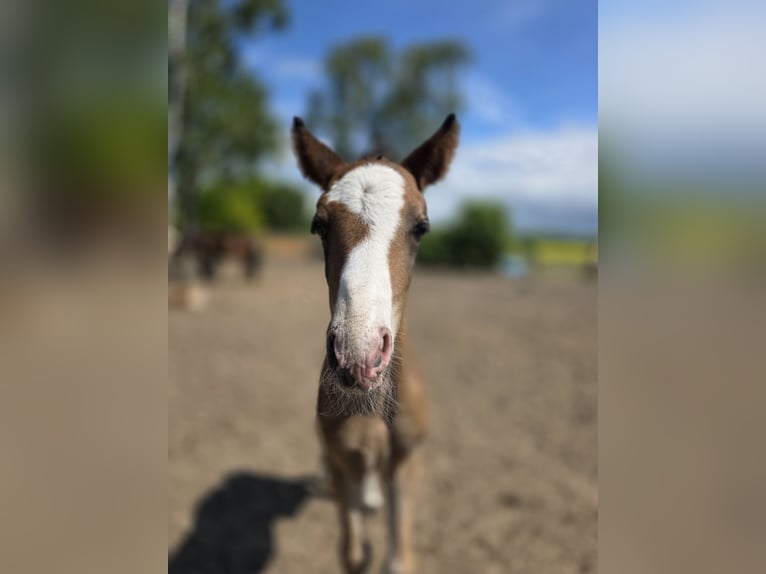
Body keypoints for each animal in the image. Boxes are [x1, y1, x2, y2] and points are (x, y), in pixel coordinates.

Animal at [292, 114, 459, 574]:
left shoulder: (408, 459)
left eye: (421, 227)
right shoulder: (340, 457)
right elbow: (351, 554)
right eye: (319, 225)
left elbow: (399, 560)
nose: (358, 356)